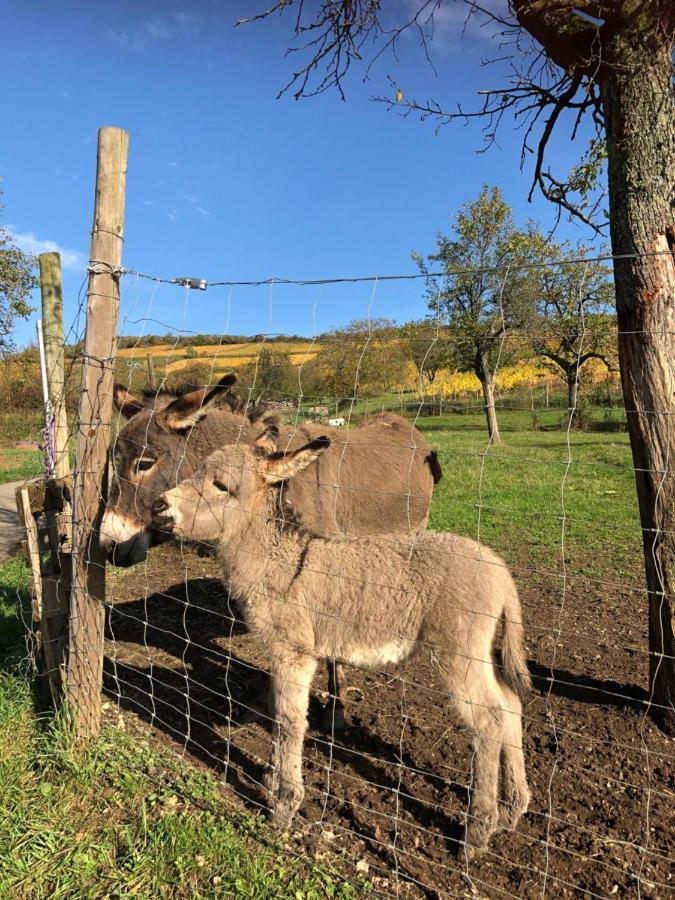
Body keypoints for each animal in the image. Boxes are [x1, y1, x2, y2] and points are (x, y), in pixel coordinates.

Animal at [156, 428, 532, 852]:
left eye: (221, 486)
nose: (160, 506)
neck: (276, 561)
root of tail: (500, 571)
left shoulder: (294, 654)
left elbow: (289, 721)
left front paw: (283, 805)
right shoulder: (283, 654)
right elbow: (280, 713)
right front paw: (271, 777)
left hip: (458, 653)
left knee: (488, 721)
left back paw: (477, 833)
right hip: (480, 652)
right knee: (510, 705)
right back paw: (513, 810)